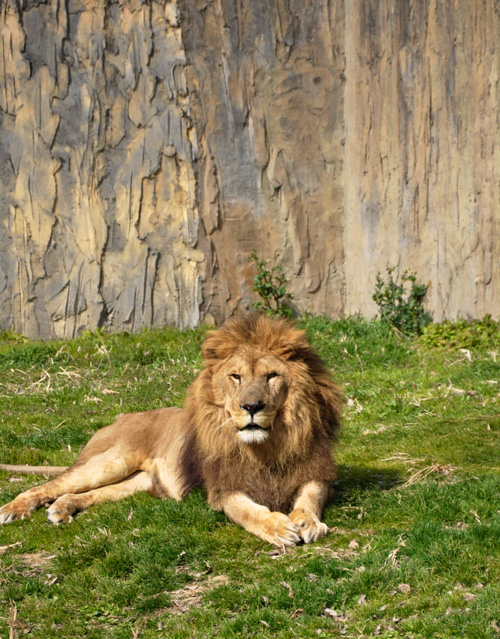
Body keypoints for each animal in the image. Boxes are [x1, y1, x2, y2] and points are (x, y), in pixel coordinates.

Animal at [0, 318, 340, 548]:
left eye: (271, 376)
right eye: (236, 377)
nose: (252, 406)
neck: (268, 446)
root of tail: (119, 418)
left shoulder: (315, 472)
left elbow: (309, 498)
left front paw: (307, 522)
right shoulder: (224, 489)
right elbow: (248, 512)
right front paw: (278, 527)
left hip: (136, 482)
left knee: (86, 494)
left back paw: (61, 508)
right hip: (111, 462)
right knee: (48, 485)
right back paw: (14, 509)